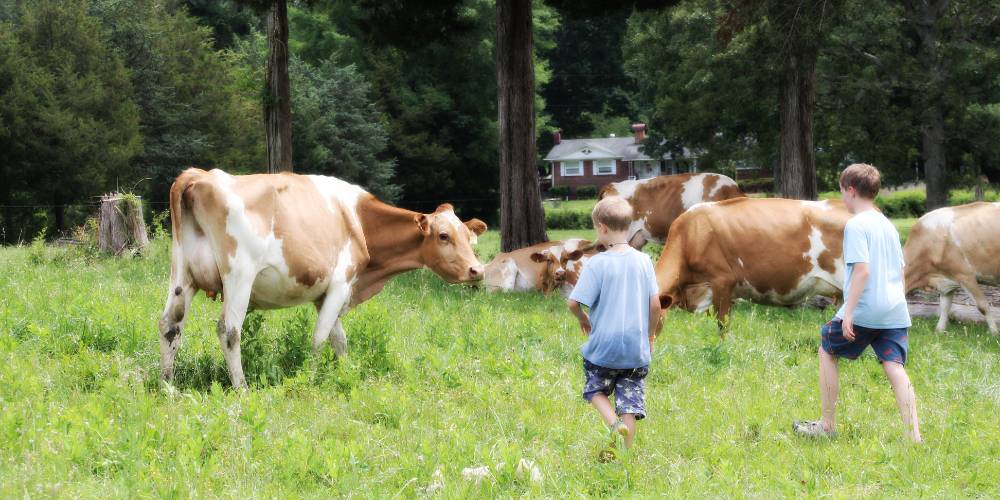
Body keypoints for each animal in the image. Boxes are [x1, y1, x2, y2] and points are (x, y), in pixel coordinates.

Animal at [160, 168, 488, 386]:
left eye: (468, 236)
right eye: (444, 236)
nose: (477, 270)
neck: (359, 219)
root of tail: (200, 175)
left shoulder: (325, 294)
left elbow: (338, 338)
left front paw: (346, 372)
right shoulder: (342, 283)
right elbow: (320, 337)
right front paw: (311, 378)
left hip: (182, 274)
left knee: (170, 325)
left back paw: (167, 384)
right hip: (239, 274)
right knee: (229, 330)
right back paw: (241, 387)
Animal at [904, 201, 996, 334]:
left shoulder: (965, 275)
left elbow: (982, 306)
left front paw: (994, 332)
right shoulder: (947, 278)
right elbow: (944, 306)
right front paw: (939, 331)